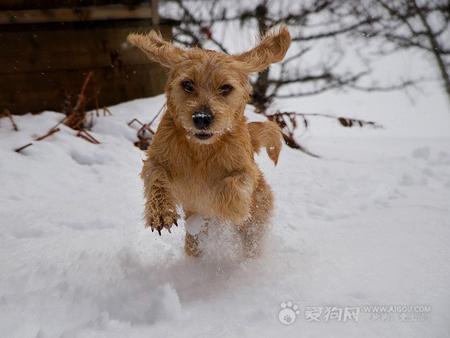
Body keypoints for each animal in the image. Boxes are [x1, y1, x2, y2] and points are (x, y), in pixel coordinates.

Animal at [126, 25, 290, 258]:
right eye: (187, 84)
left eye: (225, 88)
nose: (202, 118)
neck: (200, 150)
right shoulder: (156, 159)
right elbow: (157, 177)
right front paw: (161, 213)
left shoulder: (244, 170)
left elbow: (234, 184)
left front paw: (226, 208)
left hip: (257, 221)